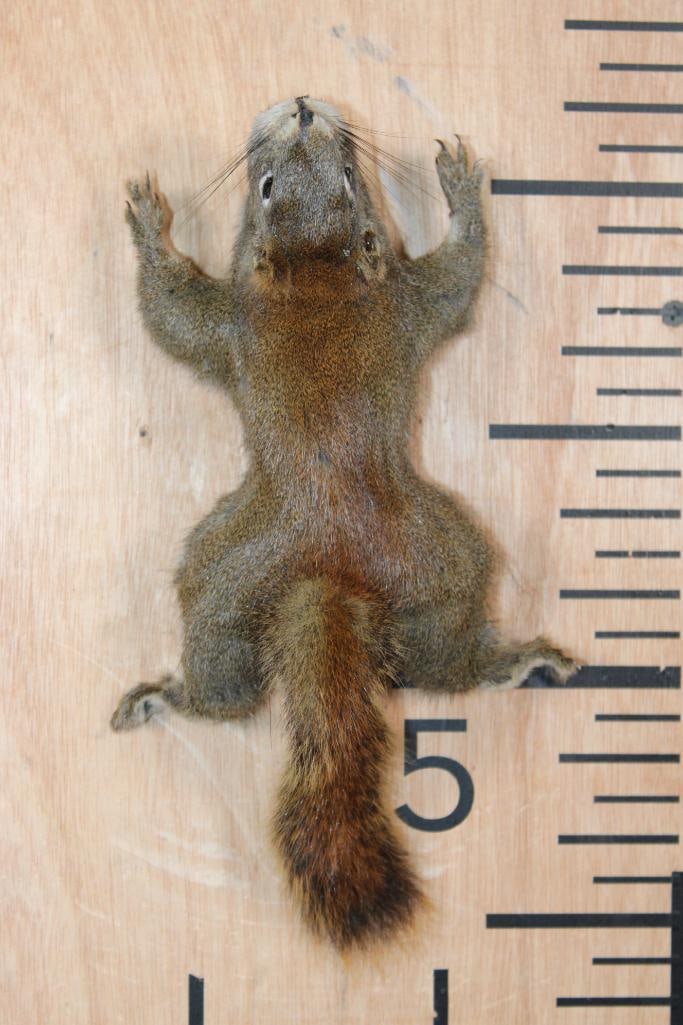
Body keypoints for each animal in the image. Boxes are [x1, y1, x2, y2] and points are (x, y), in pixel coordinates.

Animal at [111, 96, 575, 950]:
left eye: (352, 179)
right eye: (266, 187)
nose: (301, 108)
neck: (317, 273)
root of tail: (328, 571)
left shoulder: (260, 315)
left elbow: (170, 312)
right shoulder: (356, 307)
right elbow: (454, 278)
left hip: (253, 574)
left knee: (246, 684)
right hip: (424, 565)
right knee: (430, 663)